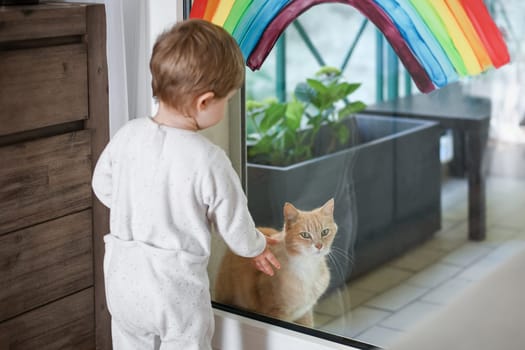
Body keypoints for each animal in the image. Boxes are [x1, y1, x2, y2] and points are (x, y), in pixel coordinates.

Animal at [215, 198, 338, 326]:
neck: (308, 266)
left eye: (325, 232)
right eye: (305, 235)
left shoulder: (305, 312)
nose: (319, 246)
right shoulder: (277, 313)